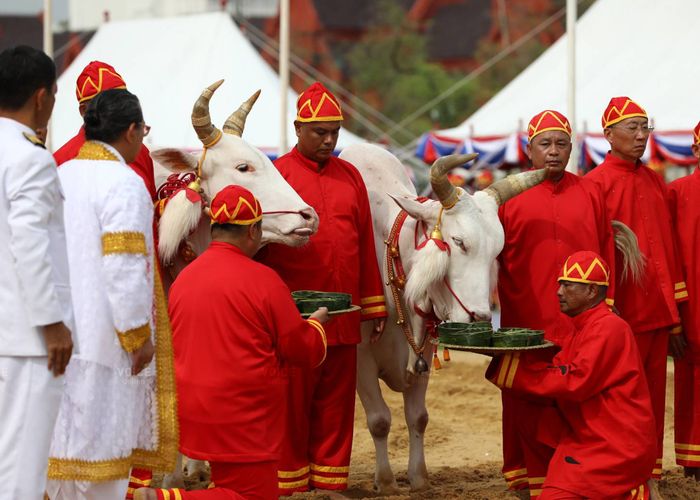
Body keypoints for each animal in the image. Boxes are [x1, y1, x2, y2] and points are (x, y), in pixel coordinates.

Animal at [340, 144, 548, 492]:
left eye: (497, 251)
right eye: (459, 242)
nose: (479, 316)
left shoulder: (423, 349)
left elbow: (418, 417)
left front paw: (418, 478)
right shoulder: (360, 358)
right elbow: (380, 419)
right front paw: (386, 482)